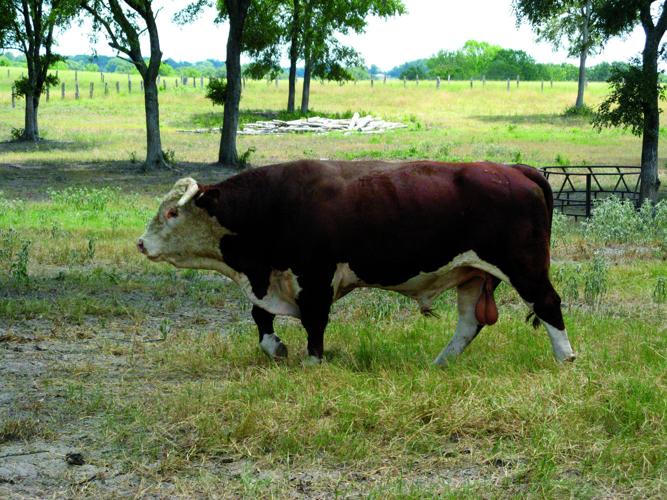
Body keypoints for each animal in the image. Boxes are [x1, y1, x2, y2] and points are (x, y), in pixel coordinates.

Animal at [137, 160, 575, 366]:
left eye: (173, 213)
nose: (141, 243)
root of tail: (515, 170)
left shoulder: (315, 278)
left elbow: (314, 323)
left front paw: (313, 362)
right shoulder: (276, 279)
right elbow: (261, 317)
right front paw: (275, 347)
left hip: (525, 266)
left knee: (548, 304)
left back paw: (565, 359)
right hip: (473, 275)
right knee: (469, 324)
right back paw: (439, 364)